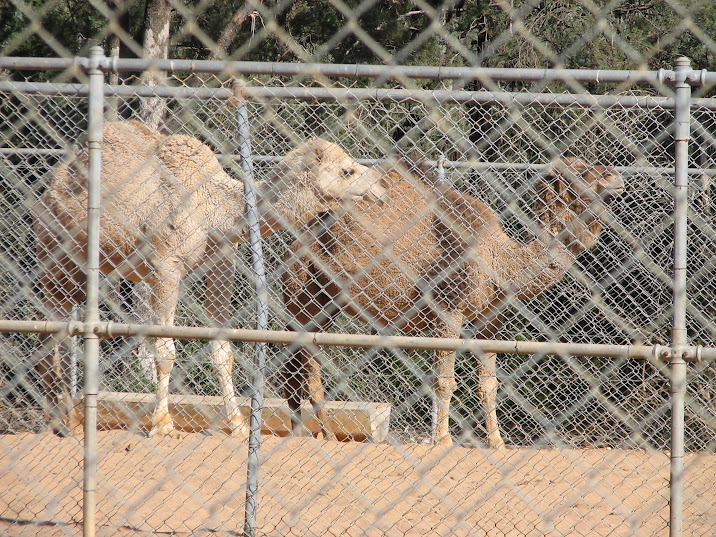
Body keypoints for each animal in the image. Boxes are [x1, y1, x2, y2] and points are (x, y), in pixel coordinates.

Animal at [34, 120, 387, 437]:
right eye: (347, 171)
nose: (380, 189)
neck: (215, 209)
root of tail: (51, 188)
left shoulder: (222, 260)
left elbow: (222, 350)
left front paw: (239, 426)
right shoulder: (165, 265)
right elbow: (165, 350)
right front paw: (163, 426)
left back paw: (65, 418)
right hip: (56, 253)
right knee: (54, 330)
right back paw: (62, 422)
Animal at [281, 155, 624, 448]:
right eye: (581, 172)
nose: (615, 177)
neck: (498, 260)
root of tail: (300, 235)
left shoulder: (491, 319)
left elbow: (488, 384)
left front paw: (497, 443)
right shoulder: (448, 309)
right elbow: (444, 381)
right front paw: (443, 440)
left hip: (326, 302)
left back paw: (308, 430)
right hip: (303, 294)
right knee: (306, 366)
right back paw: (322, 434)